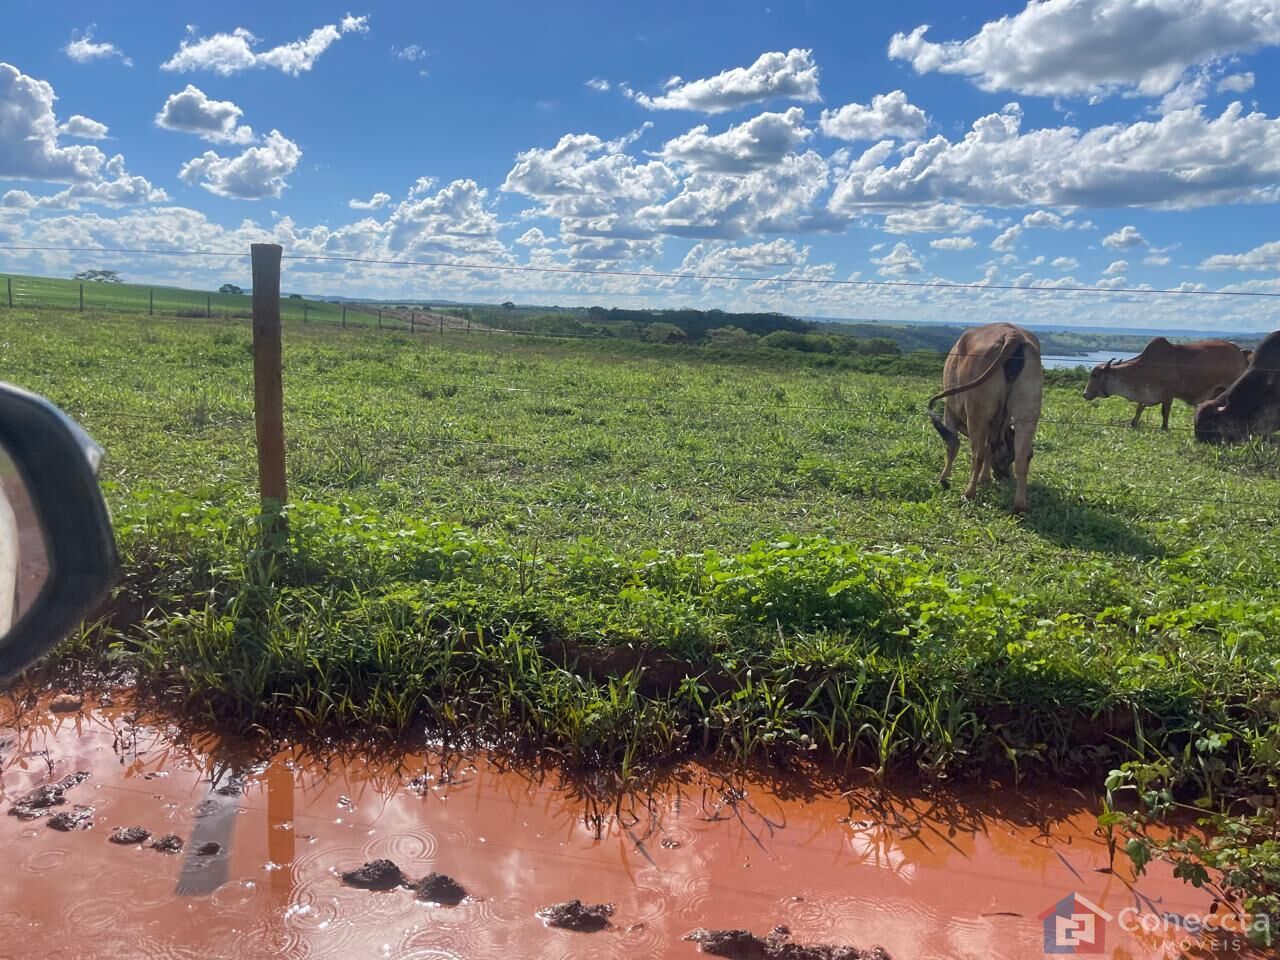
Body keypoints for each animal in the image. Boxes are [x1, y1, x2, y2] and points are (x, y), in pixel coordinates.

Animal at [931, 323, 1039, 514]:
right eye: (1007, 457)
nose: (1005, 476)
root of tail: (1013, 334)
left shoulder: (950, 411)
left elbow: (952, 447)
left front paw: (944, 478)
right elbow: (990, 448)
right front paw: (985, 479)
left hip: (977, 412)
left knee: (977, 454)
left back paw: (969, 493)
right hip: (1028, 413)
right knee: (1023, 456)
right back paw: (1020, 505)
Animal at [1080, 337, 1249, 427]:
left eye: (1094, 375)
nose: (1084, 394)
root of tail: (1239, 351)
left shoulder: (1168, 394)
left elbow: (1165, 412)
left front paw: (1164, 427)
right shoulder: (1145, 394)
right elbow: (1139, 409)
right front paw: (1133, 423)